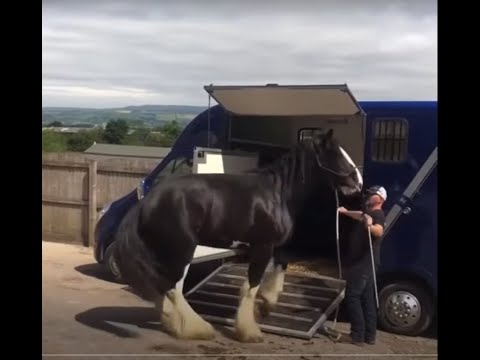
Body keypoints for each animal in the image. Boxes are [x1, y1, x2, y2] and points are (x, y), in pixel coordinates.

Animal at [113, 130, 360, 344]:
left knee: (169, 288)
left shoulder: (273, 246)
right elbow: (251, 286)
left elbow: (279, 268)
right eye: (336, 153)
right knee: (171, 286)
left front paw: (266, 304)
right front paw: (249, 331)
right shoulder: (263, 246)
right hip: (181, 250)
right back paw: (197, 329)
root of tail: (147, 201)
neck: (276, 195)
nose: (358, 182)